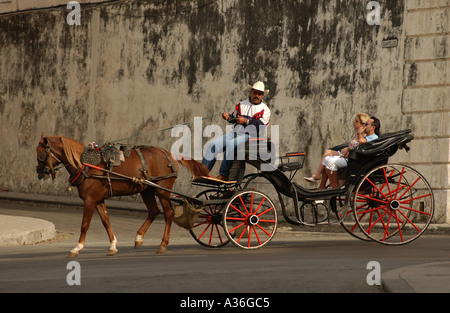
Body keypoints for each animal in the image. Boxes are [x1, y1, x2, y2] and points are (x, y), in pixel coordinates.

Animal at [36, 133, 210, 258]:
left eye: (40, 154)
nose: (39, 172)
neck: (87, 165)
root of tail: (169, 153)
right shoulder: (98, 200)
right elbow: (106, 222)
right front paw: (113, 245)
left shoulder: (90, 200)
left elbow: (84, 224)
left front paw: (77, 248)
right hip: (146, 189)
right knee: (154, 211)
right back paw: (139, 237)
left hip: (163, 190)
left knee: (168, 213)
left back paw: (162, 244)